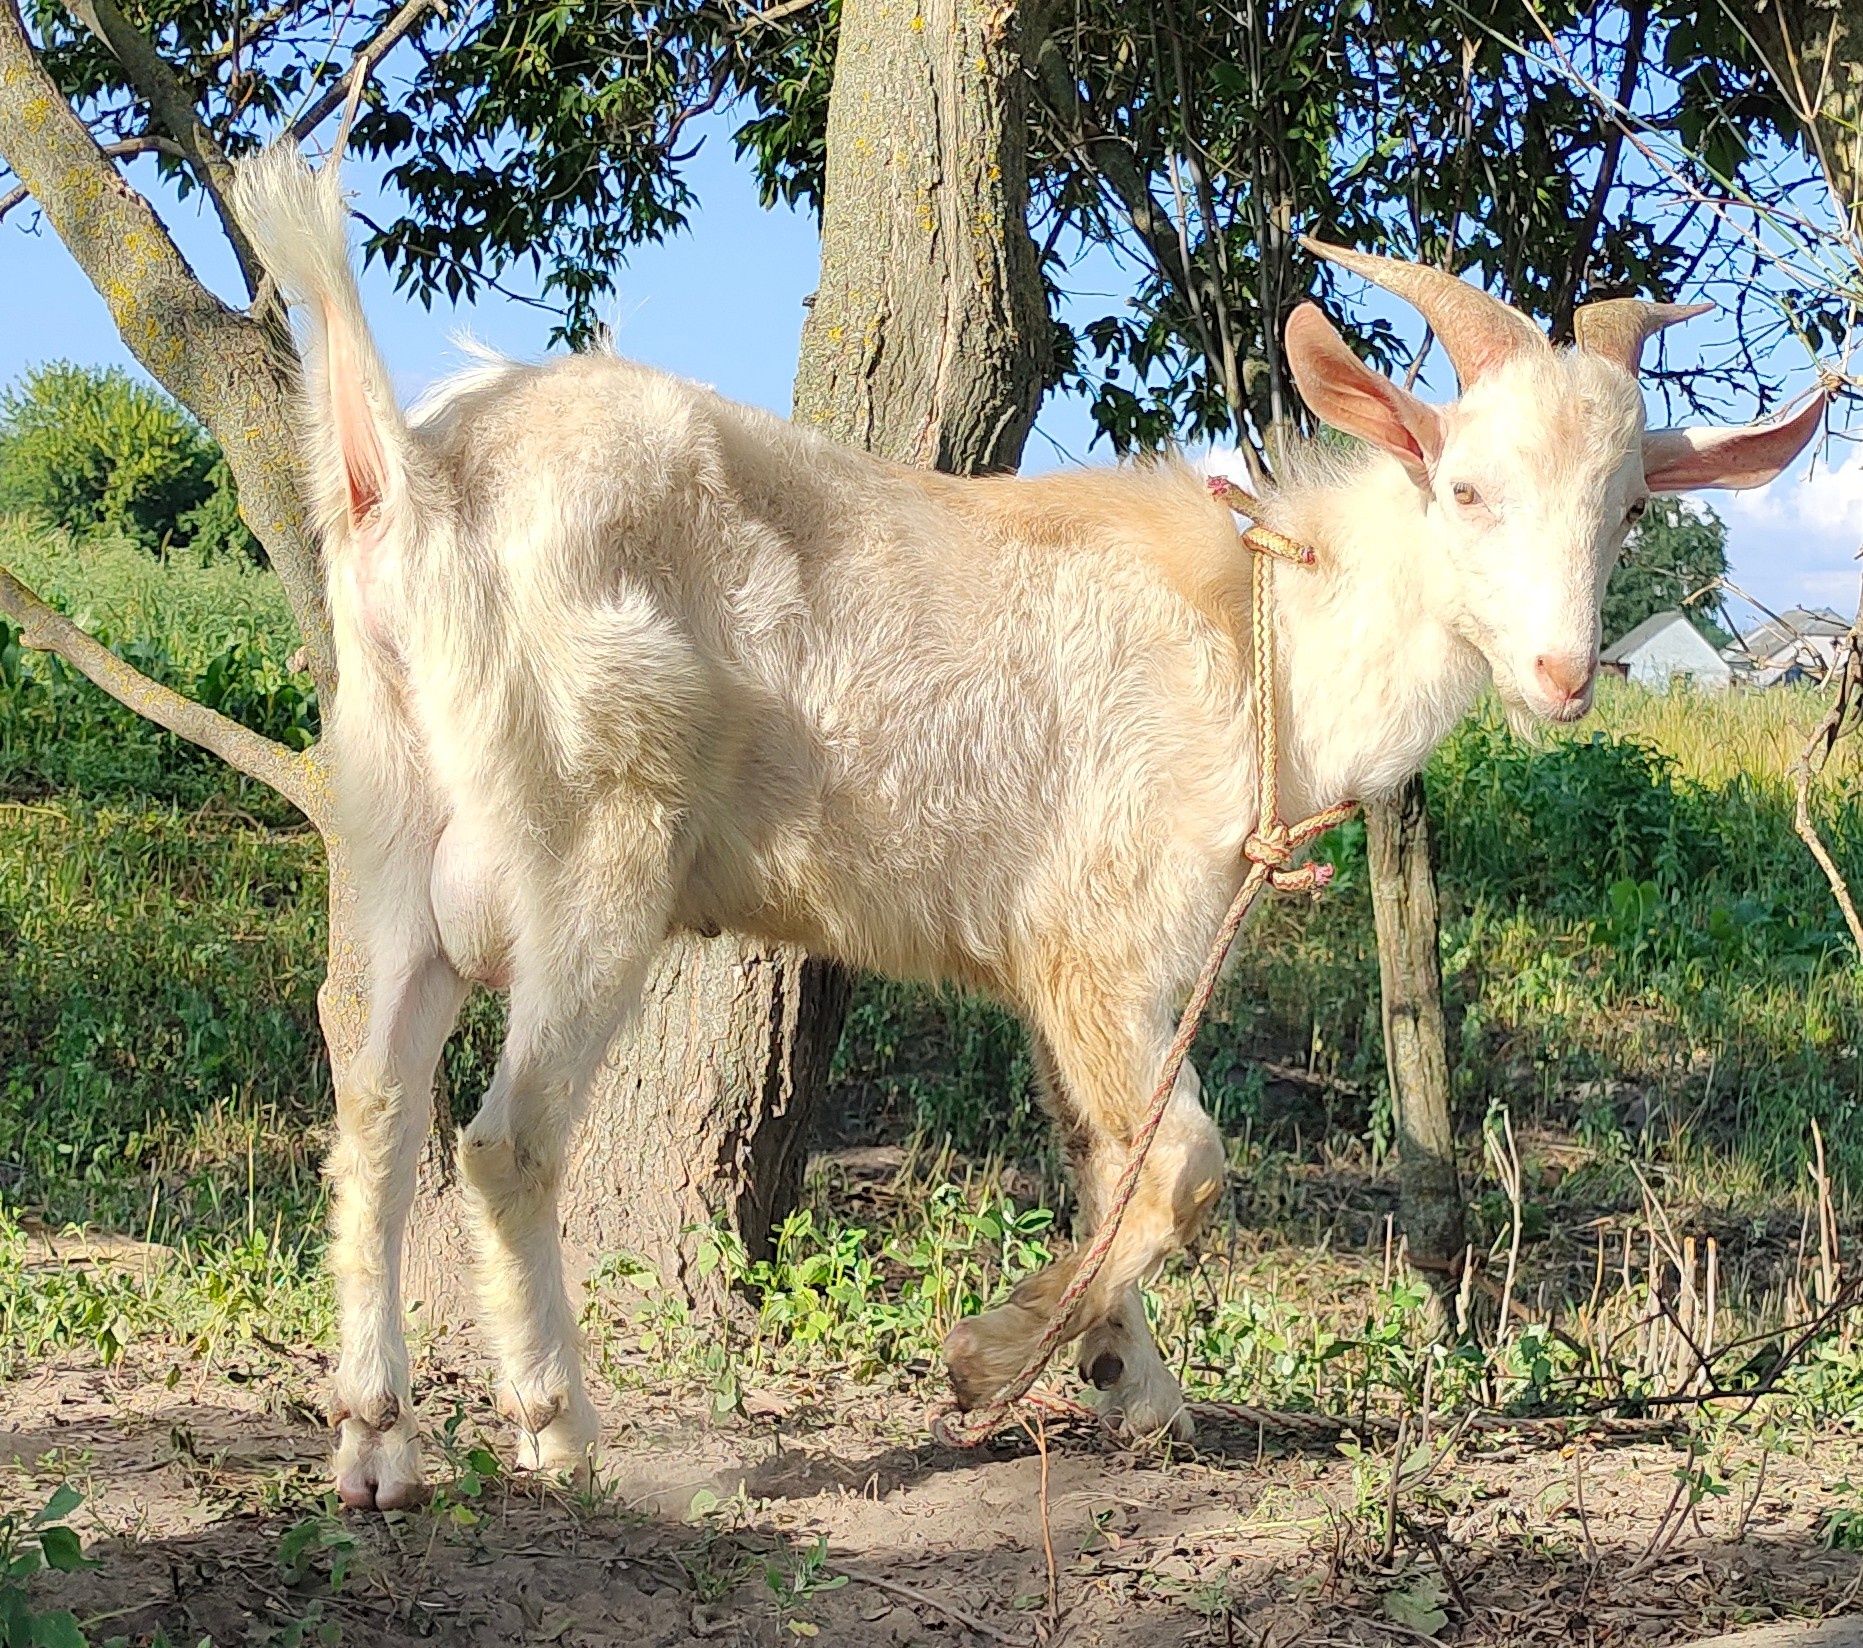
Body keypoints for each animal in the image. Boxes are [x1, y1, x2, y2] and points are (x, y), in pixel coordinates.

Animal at [232, 141, 1818, 1504]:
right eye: (1466, 487)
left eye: (1628, 510)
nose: (1562, 675)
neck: (1266, 635)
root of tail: (413, 477)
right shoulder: (1101, 930)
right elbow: (1180, 1164)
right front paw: (993, 1359)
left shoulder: (1065, 966)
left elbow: (1104, 1155)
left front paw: (1130, 1382)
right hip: (588, 834)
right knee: (503, 1139)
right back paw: (557, 1428)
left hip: (386, 814)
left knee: (372, 1097)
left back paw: (375, 1443)